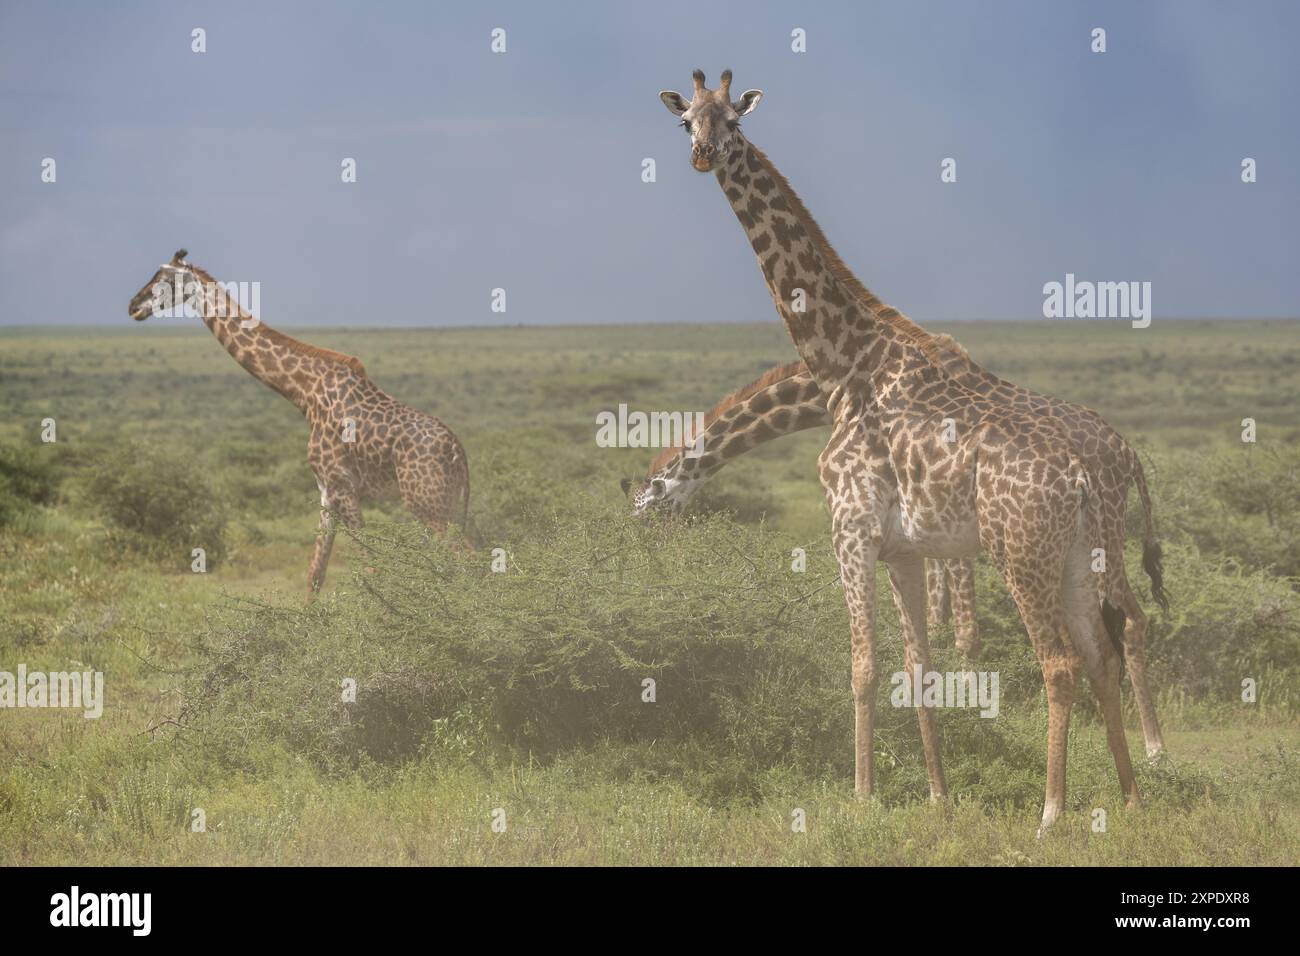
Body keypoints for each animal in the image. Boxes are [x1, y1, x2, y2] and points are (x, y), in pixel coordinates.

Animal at [127, 250, 470, 596]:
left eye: (165, 279)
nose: (133, 305)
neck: (305, 394)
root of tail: (459, 452)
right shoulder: (326, 492)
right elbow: (315, 575)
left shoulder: (342, 485)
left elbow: (371, 567)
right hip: (449, 505)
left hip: (427, 503)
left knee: (466, 561)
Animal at [627, 341, 1169, 754]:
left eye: (646, 517)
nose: (653, 562)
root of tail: (1130, 454)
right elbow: (941, 619)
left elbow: (961, 626)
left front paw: (974, 708)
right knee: (1123, 621)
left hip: (1096, 534)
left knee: (1130, 620)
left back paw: (1154, 747)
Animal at [660, 71, 1145, 830]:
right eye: (687, 122)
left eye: (733, 121)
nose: (704, 155)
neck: (843, 361)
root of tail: (1083, 476)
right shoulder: (904, 549)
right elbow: (919, 668)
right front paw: (940, 796)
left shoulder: (849, 527)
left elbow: (863, 666)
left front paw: (861, 796)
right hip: (1076, 554)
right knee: (1100, 655)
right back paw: (1127, 799)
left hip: (1021, 552)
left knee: (1061, 662)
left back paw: (1051, 813)